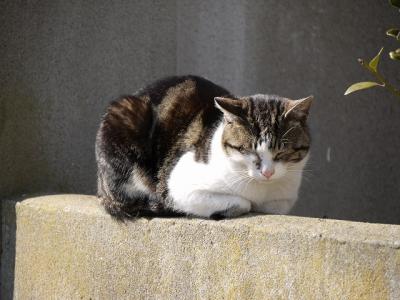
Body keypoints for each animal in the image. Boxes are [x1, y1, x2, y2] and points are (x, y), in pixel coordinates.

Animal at [94, 75, 312, 219]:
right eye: (248, 150)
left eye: (282, 151)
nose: (267, 173)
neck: (261, 190)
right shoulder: (177, 186)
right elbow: (243, 203)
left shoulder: (281, 203)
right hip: (124, 116)